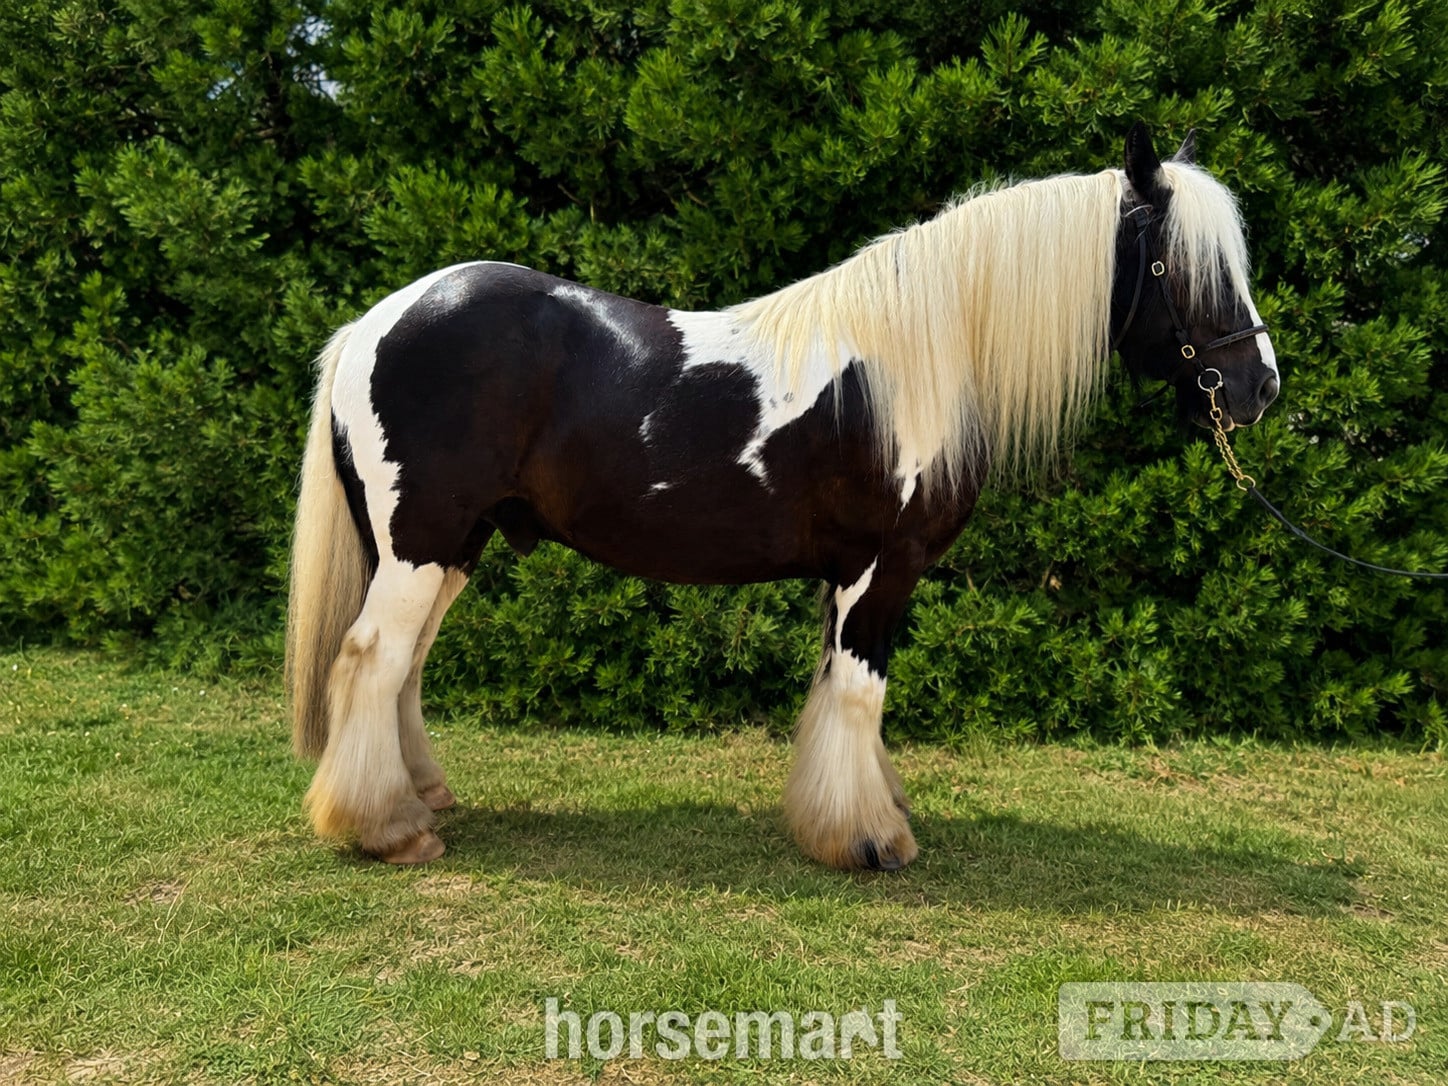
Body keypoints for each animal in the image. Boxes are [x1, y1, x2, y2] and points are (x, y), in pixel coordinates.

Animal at [285, 123, 1279, 869]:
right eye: (1187, 269)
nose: (1259, 386)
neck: (913, 365)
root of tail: (375, 322)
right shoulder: (882, 567)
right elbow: (861, 693)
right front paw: (869, 841)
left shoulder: (848, 573)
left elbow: (837, 690)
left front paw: (856, 812)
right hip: (421, 542)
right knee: (372, 656)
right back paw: (387, 829)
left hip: (456, 543)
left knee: (405, 664)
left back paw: (420, 800)